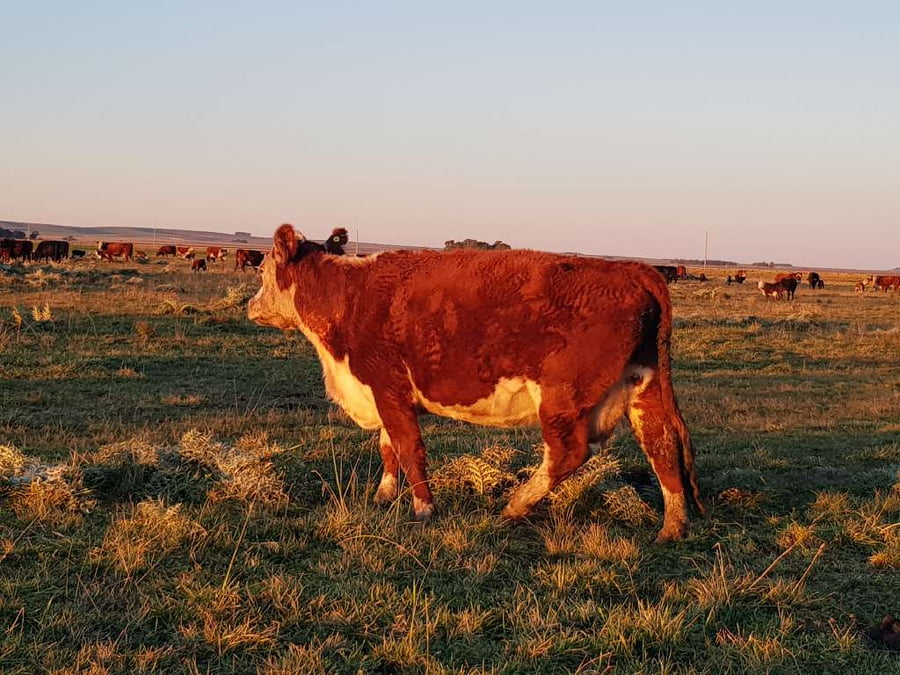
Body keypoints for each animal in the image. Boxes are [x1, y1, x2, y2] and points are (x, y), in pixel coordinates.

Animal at [247, 224, 704, 542]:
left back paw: (515, 505)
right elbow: (387, 448)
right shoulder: (380, 394)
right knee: (662, 445)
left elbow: (408, 448)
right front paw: (383, 495)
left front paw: (424, 509)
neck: (348, 298)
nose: (250, 306)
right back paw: (672, 526)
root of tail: (633, 269)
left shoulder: (387, 386)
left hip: (561, 397)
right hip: (643, 386)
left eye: (263, 269)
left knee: (569, 452)